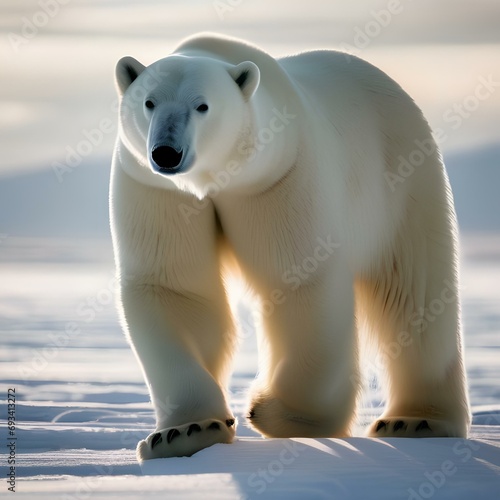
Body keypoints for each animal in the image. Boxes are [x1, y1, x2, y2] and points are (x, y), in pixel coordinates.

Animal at [108, 32, 468, 460]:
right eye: (149, 102)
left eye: (202, 105)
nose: (166, 152)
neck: (224, 176)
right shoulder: (156, 188)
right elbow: (175, 288)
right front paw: (185, 431)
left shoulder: (279, 177)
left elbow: (299, 280)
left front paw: (284, 414)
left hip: (402, 181)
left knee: (415, 290)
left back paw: (415, 421)